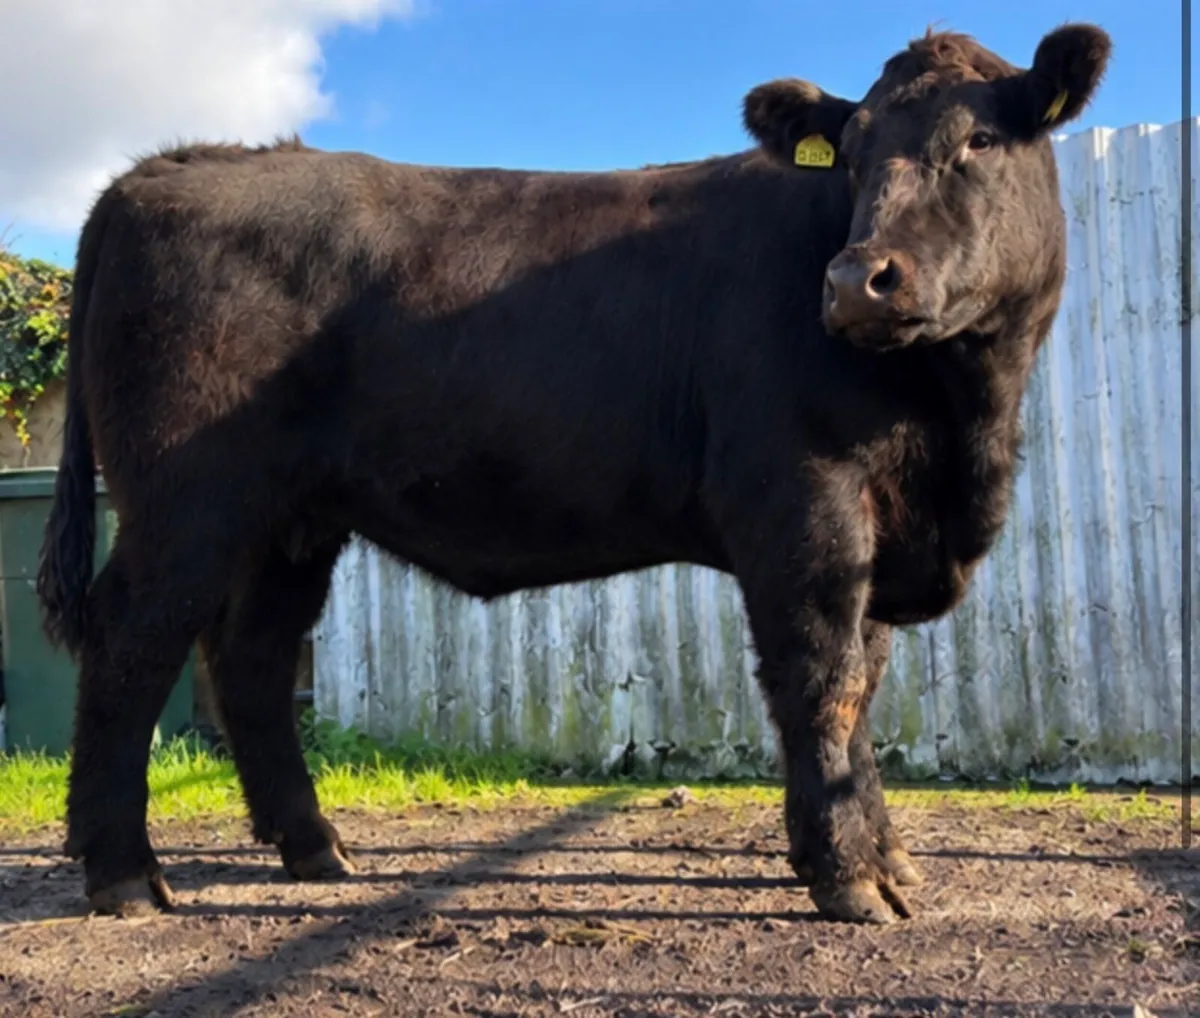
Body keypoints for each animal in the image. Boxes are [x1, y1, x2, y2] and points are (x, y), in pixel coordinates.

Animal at [36, 22, 1110, 925]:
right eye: (848, 154)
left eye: (981, 141)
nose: (857, 281)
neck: (963, 424)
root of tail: (174, 166)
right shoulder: (805, 505)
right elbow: (824, 678)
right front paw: (847, 876)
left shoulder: (880, 527)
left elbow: (864, 685)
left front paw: (883, 857)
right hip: (186, 504)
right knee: (132, 644)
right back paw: (123, 873)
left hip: (291, 521)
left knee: (252, 659)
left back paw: (315, 849)